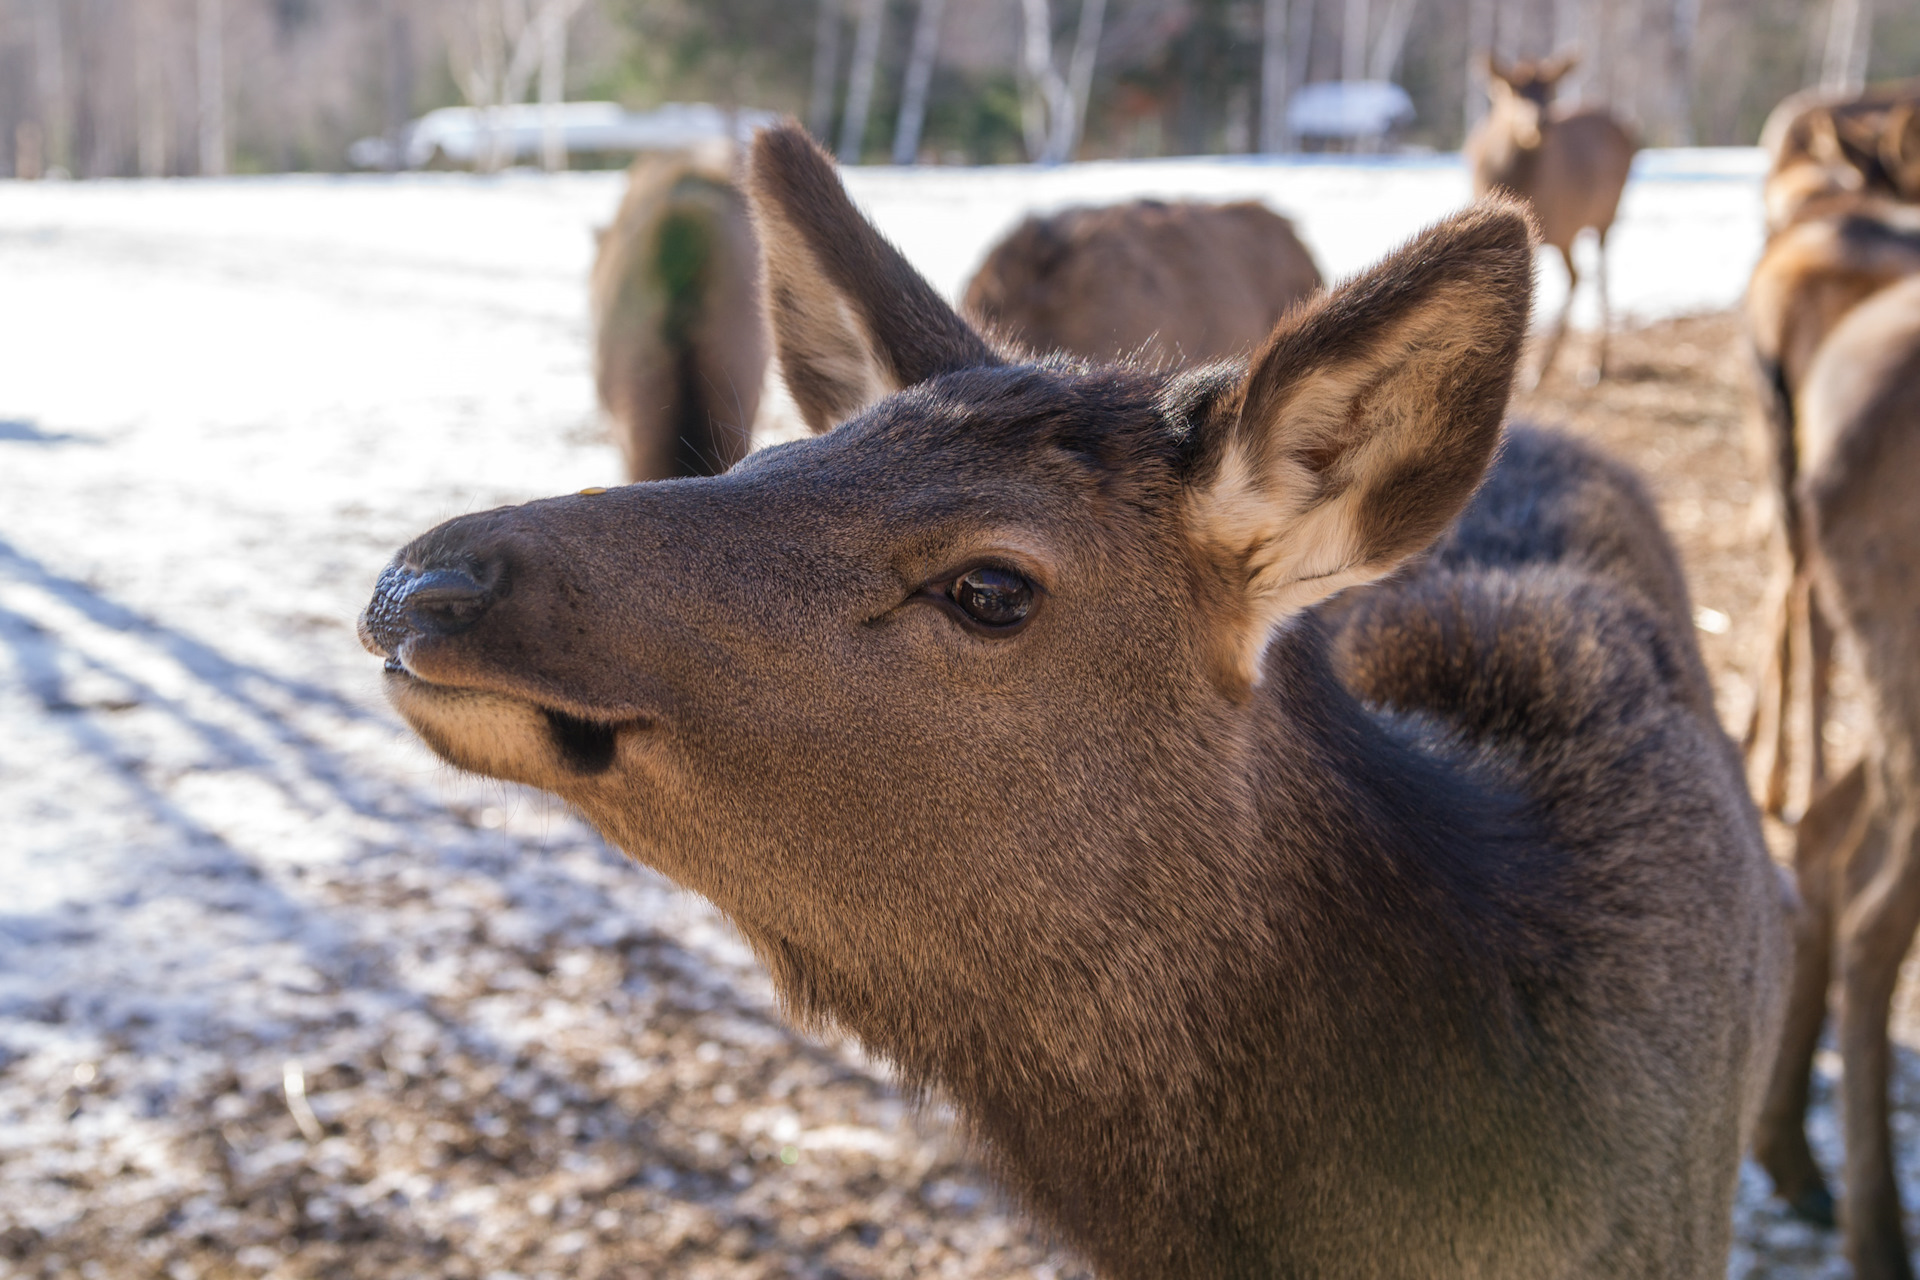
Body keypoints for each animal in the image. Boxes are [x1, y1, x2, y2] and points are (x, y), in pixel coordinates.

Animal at [1466, 51, 1635, 391]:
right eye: (1512, 89)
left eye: (1552, 88)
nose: (1539, 121)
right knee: (1579, 275)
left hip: (1603, 215)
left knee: (1597, 273)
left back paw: (1591, 364)